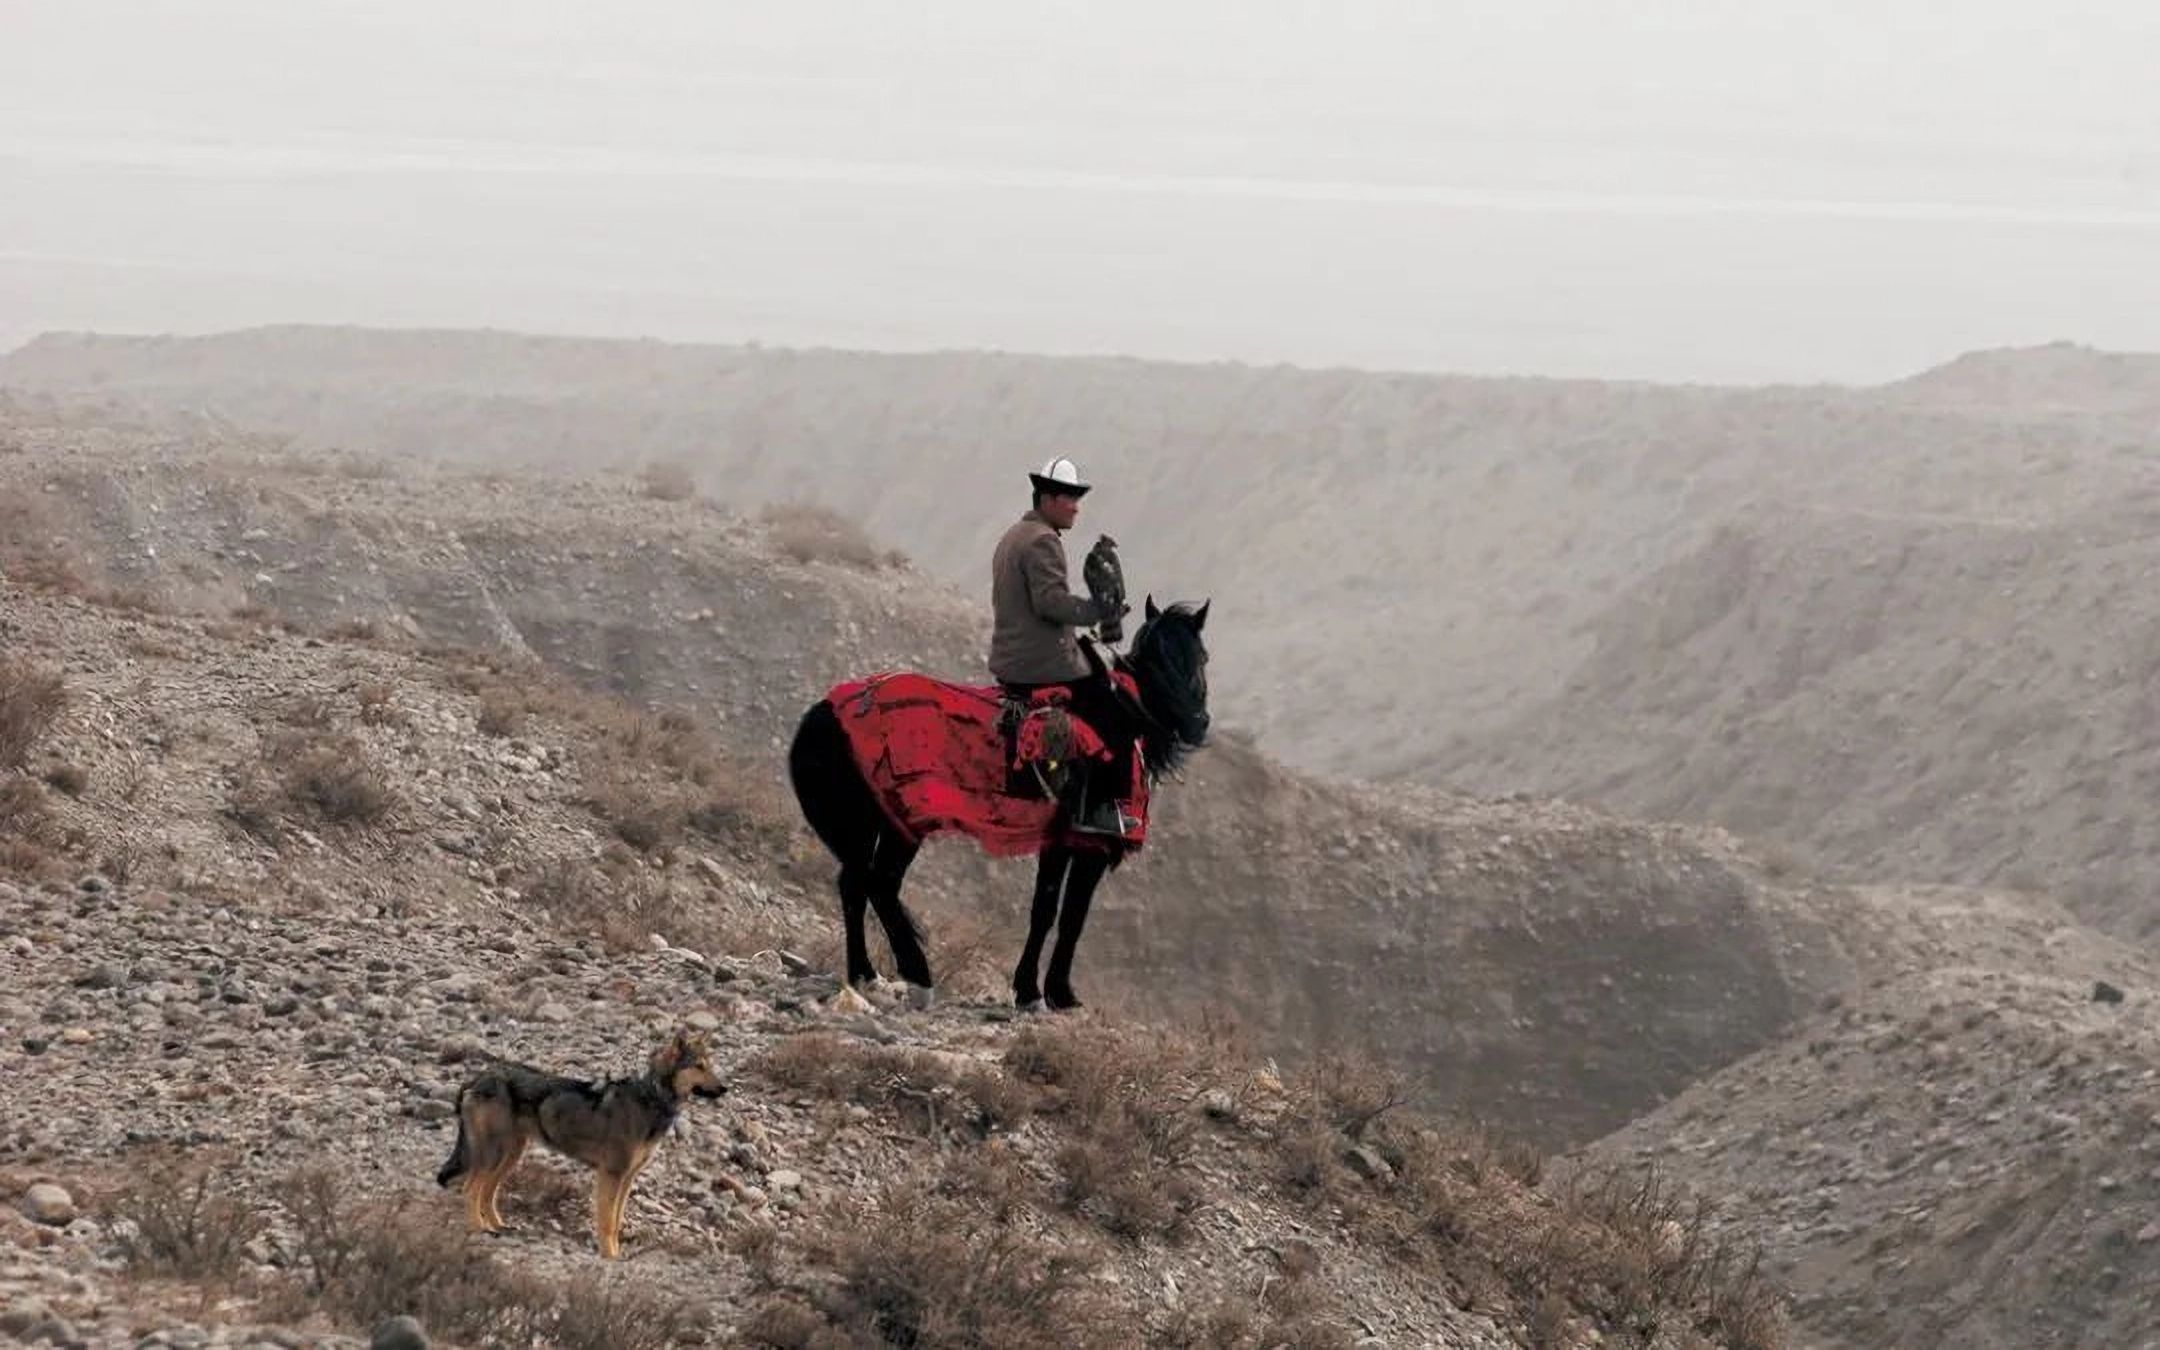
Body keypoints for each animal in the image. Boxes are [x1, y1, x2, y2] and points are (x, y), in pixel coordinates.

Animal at [434, 1028, 730, 1261]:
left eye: (710, 1065)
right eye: (699, 1066)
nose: (724, 1088)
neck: (652, 1098)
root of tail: (479, 1076)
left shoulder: (628, 1178)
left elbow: (617, 1220)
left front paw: (616, 1254)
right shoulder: (612, 1174)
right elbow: (607, 1221)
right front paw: (609, 1257)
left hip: (510, 1156)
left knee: (488, 1192)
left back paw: (499, 1227)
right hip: (494, 1154)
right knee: (471, 1189)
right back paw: (479, 1229)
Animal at [786, 596, 1209, 1006]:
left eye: (1199, 657)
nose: (1198, 722)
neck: (1123, 719)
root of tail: (822, 714)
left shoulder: (1074, 845)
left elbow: (1059, 913)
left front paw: (1044, 991)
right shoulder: (1078, 842)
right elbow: (1059, 913)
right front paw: (1043, 991)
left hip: (867, 822)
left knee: (855, 885)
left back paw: (865, 974)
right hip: (900, 822)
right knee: (880, 884)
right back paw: (918, 977)